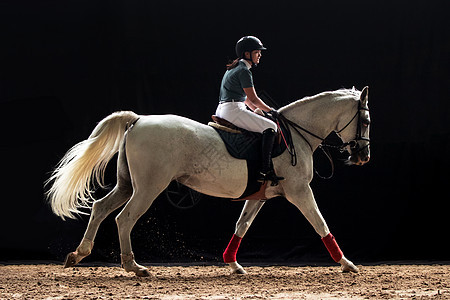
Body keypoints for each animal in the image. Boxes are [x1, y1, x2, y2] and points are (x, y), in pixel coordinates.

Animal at [46, 86, 370, 276]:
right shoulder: (299, 190)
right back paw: (134, 267)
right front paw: (347, 263)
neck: (297, 134)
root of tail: (138, 120)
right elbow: (320, 223)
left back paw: (78, 255)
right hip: (149, 187)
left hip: (127, 185)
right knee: (124, 218)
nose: (363, 156)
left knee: (101, 208)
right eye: (366, 120)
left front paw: (233, 263)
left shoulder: (259, 195)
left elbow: (242, 225)